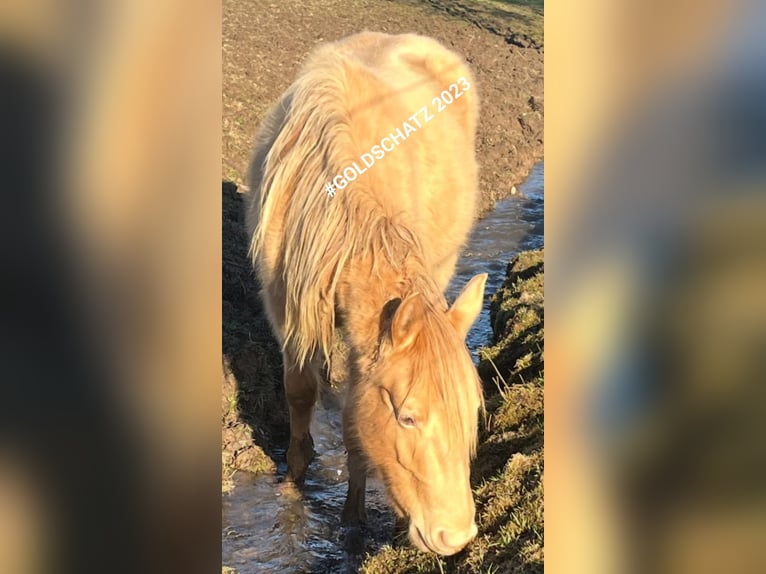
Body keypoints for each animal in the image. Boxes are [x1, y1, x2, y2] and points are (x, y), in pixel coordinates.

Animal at [246, 31, 486, 556]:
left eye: (470, 415)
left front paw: (353, 518)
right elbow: (300, 393)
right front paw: (294, 479)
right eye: (408, 418)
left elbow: (354, 422)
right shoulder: (286, 312)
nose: (455, 537)